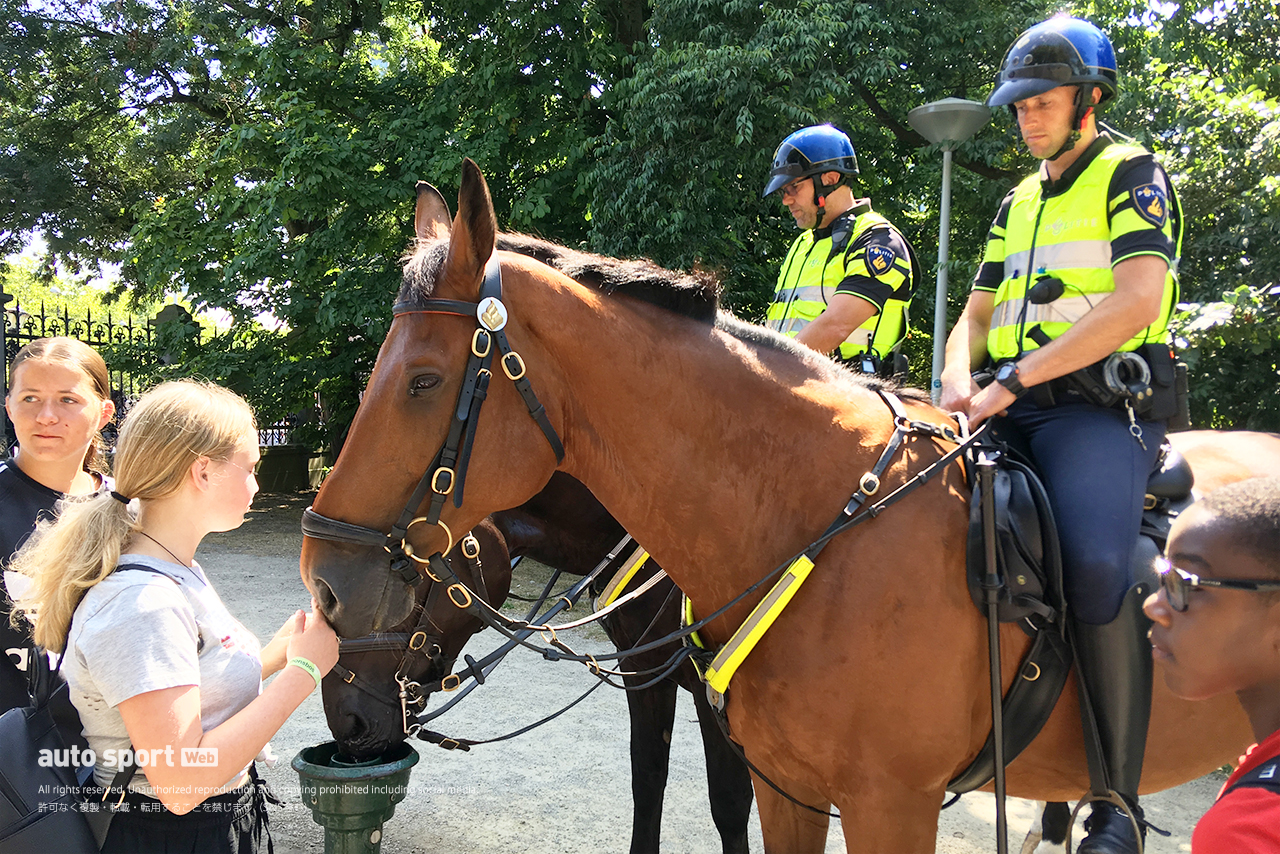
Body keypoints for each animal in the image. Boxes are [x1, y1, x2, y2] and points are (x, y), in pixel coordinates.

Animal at [322, 472, 753, 854]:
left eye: (399, 569)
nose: (346, 721)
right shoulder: (643, 670)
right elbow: (647, 778)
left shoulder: (713, 693)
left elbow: (730, 804)